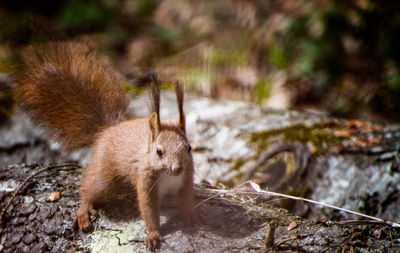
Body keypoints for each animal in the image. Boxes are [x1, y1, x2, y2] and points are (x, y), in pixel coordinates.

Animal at [13, 40, 197, 250]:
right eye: (159, 151)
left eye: (189, 148)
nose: (177, 168)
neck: (167, 175)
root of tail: (109, 129)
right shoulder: (145, 181)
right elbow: (148, 210)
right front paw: (153, 234)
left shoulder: (186, 178)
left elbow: (186, 199)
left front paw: (190, 216)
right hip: (105, 178)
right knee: (88, 188)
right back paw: (84, 210)